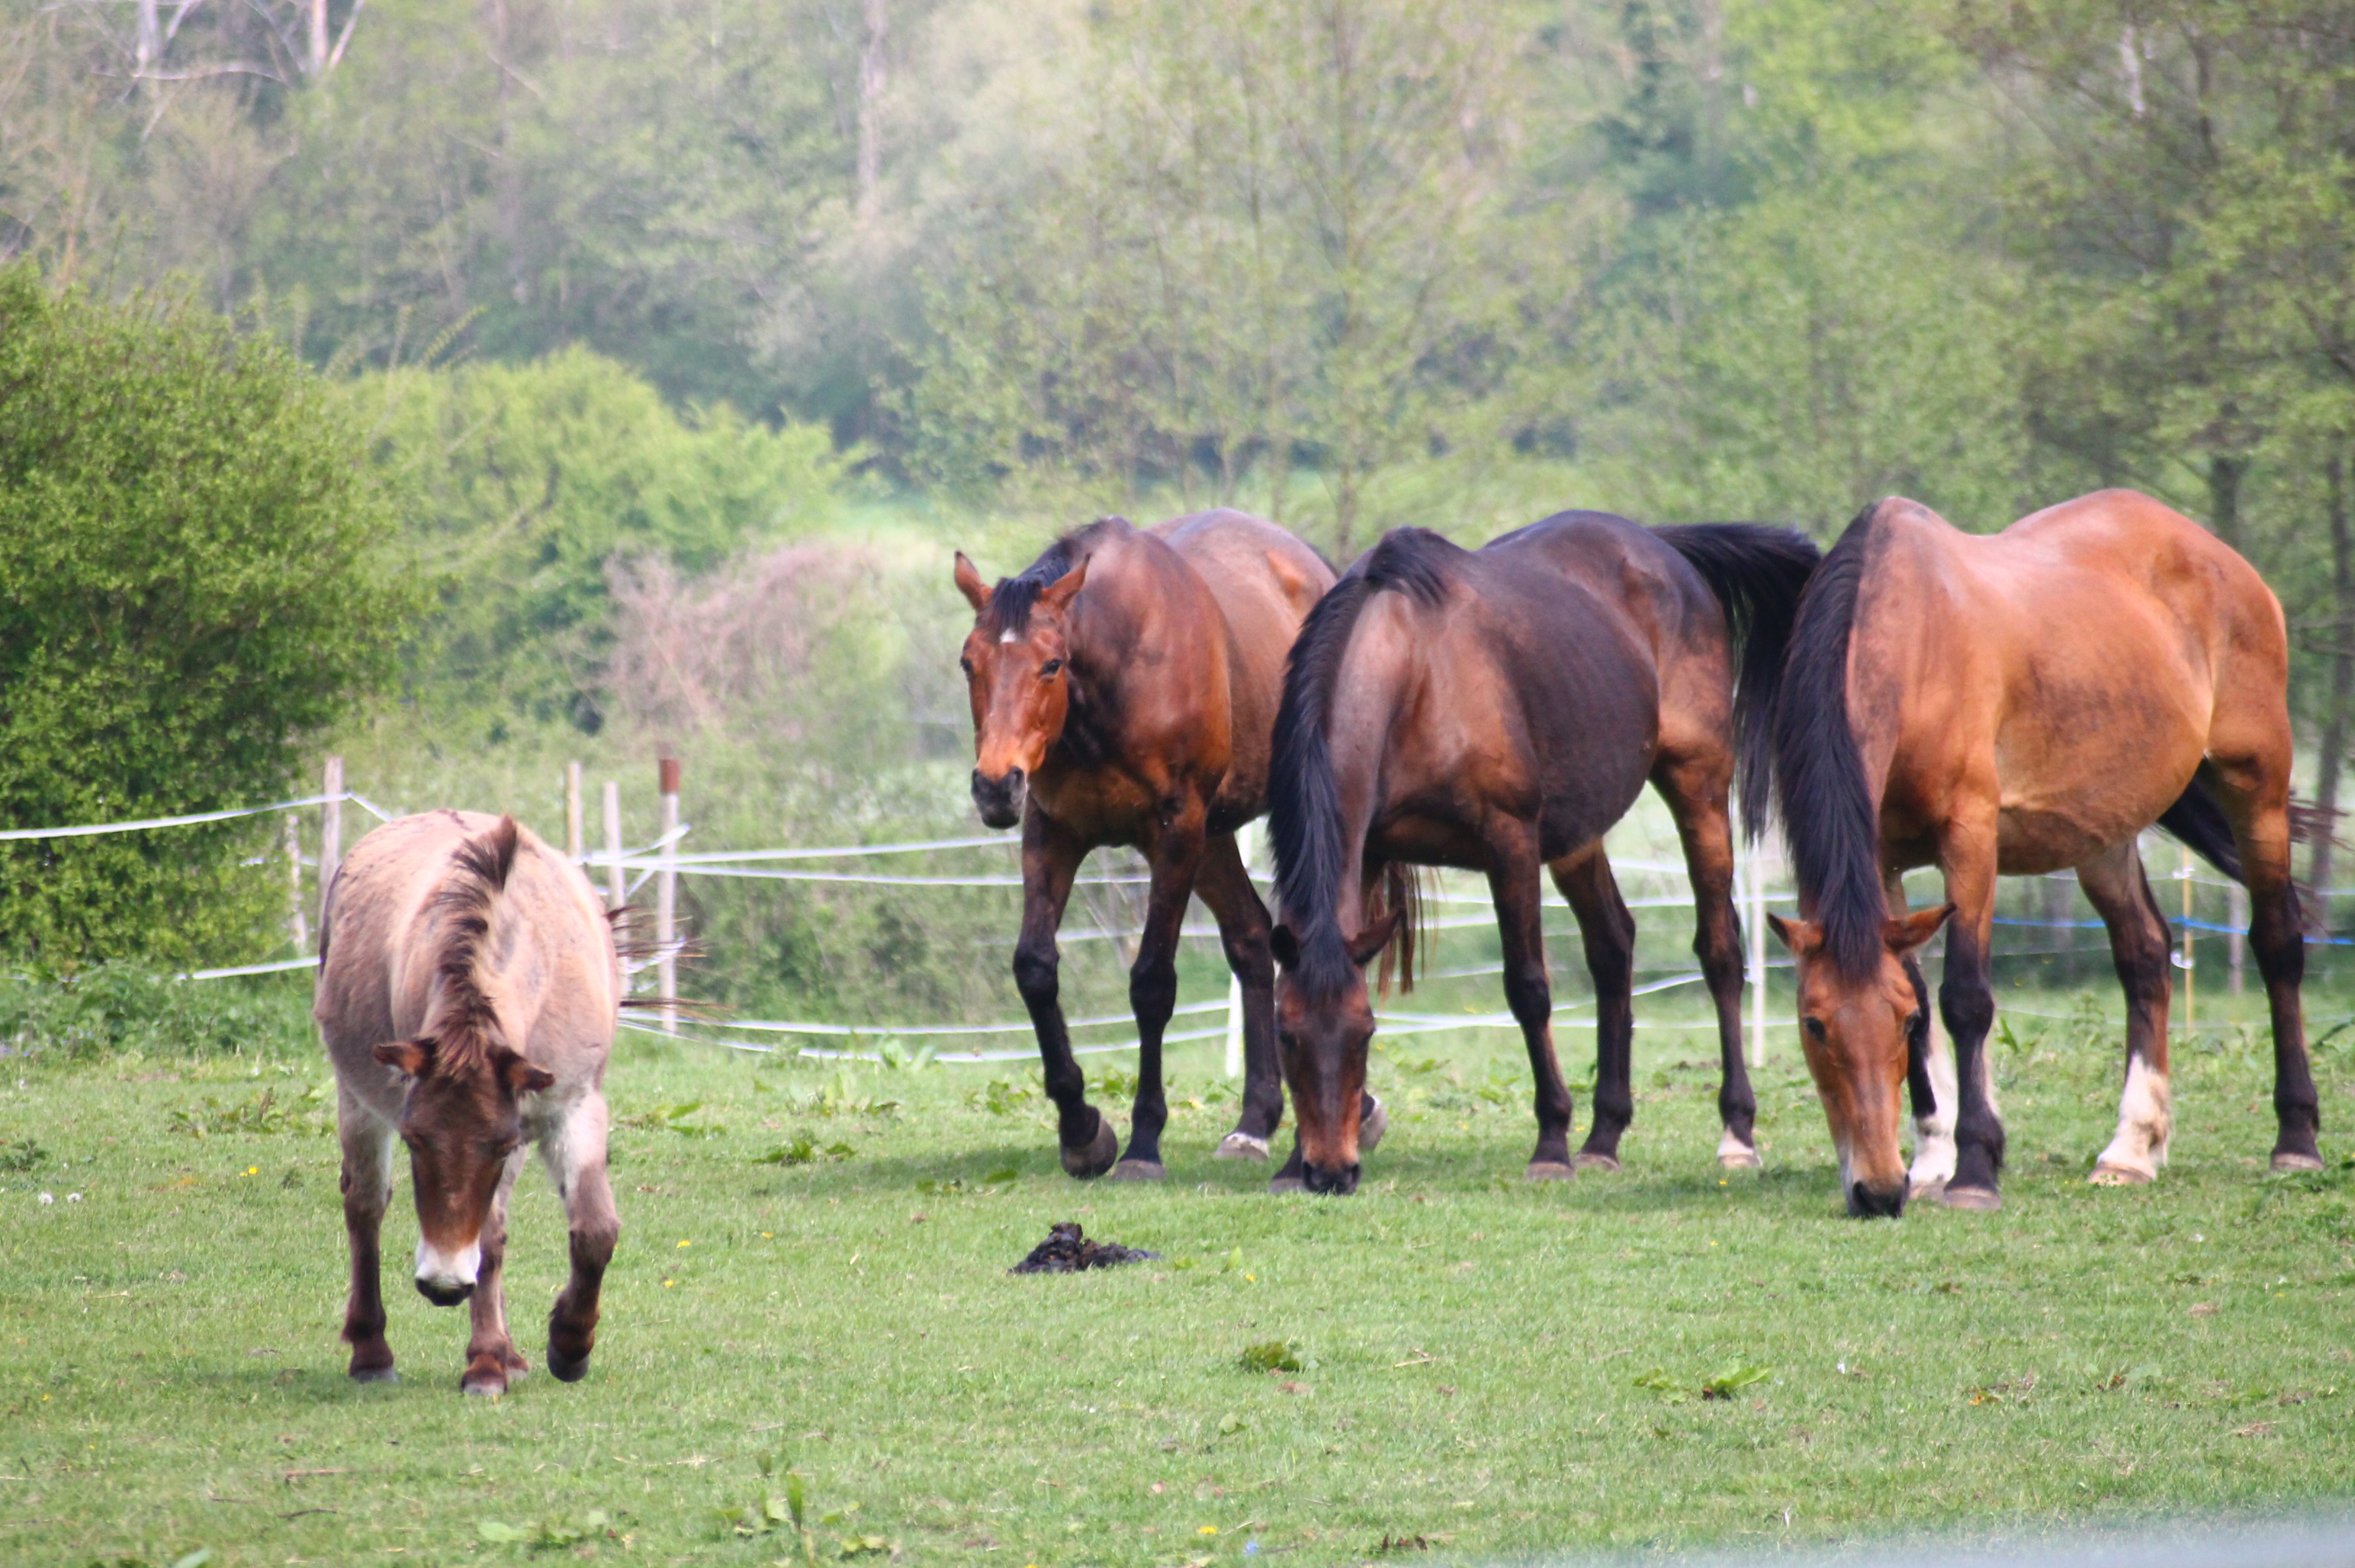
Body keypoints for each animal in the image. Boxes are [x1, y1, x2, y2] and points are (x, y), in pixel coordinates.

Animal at [315, 809, 626, 1384]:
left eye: (499, 1145)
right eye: (414, 1140)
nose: (443, 1286)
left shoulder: (567, 1109)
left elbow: (593, 1230)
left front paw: (568, 1347)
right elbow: (486, 1236)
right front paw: (487, 1361)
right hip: (356, 1100)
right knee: (365, 1206)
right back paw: (373, 1354)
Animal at [956, 506, 1366, 1177]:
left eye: (1051, 664)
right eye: (970, 663)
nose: (995, 785)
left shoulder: (1175, 832)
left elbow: (1151, 983)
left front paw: (1144, 1140)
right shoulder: (1053, 830)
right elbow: (1035, 969)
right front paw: (1082, 1130)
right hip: (1216, 838)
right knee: (1253, 938)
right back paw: (1254, 1122)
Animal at [1271, 510, 1817, 1186]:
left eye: (1364, 1034)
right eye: (1286, 1036)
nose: (1330, 1171)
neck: (1414, 671)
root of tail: (1662, 546)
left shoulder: (1510, 843)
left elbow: (1528, 988)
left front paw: (1551, 1142)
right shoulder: (1368, 851)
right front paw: (1291, 1161)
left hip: (1700, 788)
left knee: (1719, 952)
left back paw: (1736, 1132)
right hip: (1578, 834)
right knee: (1613, 946)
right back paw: (1604, 1135)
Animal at [1771, 484, 2317, 1205]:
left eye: (1898, 1024)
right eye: (1814, 1023)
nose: (1877, 1191)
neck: (1915, 647)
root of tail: (2218, 555)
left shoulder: (1970, 840)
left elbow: (1964, 998)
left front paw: (1974, 1168)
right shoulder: (1882, 858)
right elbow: (1922, 986)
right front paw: (1930, 1160)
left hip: (2255, 781)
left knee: (2277, 941)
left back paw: (2297, 1139)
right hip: (2103, 827)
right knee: (2145, 956)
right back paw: (2132, 1147)